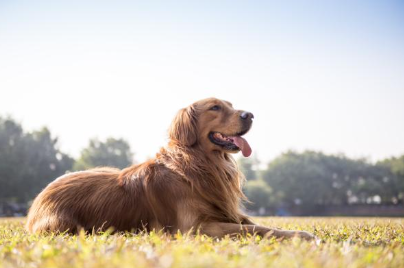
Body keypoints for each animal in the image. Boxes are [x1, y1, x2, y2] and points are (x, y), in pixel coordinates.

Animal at [26, 97, 316, 240]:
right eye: (215, 107)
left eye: (232, 106)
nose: (251, 115)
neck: (200, 164)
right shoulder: (196, 228)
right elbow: (255, 229)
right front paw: (303, 236)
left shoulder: (226, 213)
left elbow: (261, 225)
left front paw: (300, 232)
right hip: (65, 225)